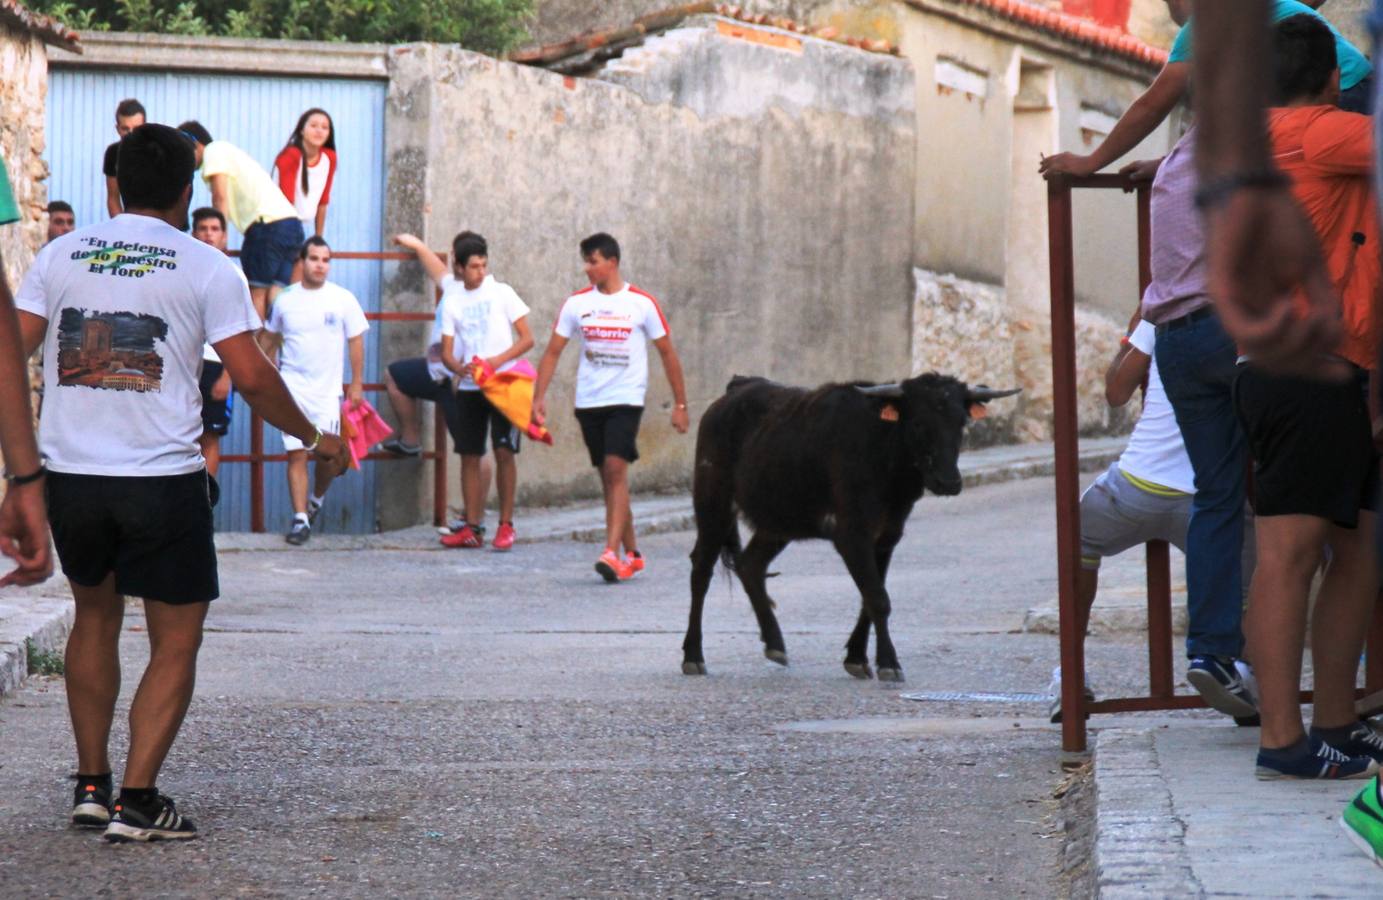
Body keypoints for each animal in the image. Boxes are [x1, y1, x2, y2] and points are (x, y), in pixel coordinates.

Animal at [680, 376, 1017, 682]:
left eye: (961, 422)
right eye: (919, 423)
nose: (949, 482)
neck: (884, 452)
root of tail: (735, 390)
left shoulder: (887, 537)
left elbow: (870, 597)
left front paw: (857, 658)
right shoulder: (852, 536)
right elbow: (878, 597)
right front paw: (889, 663)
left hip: (779, 522)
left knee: (750, 564)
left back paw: (775, 644)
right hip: (713, 505)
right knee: (701, 572)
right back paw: (693, 656)